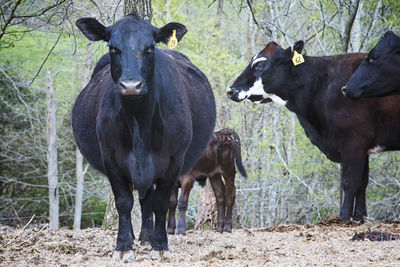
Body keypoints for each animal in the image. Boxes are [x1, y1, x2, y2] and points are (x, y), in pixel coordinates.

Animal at [72, 13, 216, 262]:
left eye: (150, 47)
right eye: (113, 47)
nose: (131, 85)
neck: (139, 121)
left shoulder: (174, 161)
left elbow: (160, 202)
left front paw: (159, 244)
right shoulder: (111, 158)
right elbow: (123, 202)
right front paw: (123, 246)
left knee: (147, 198)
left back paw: (148, 237)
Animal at [227, 40, 400, 223]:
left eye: (259, 64)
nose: (231, 90)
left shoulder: (354, 141)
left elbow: (350, 181)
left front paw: (345, 217)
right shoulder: (363, 146)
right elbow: (362, 182)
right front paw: (359, 217)